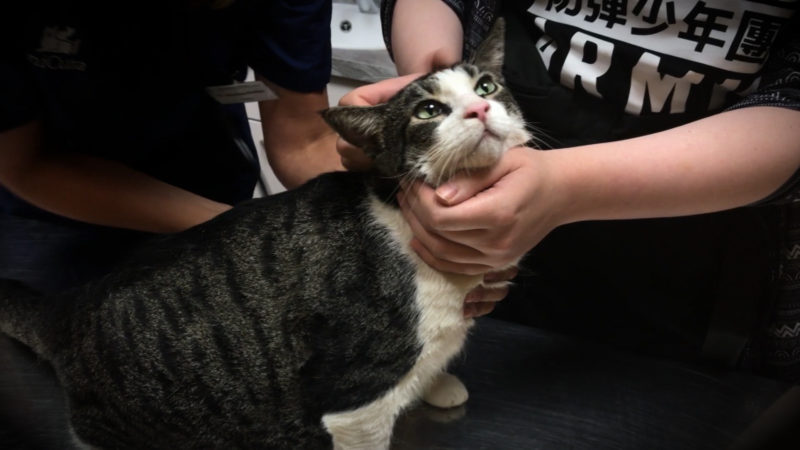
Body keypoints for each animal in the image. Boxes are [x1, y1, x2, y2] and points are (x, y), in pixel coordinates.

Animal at [3, 21, 536, 450]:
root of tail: (68, 310)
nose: (480, 109)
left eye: (486, 85)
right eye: (427, 110)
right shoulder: (354, 404)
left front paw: (436, 383)